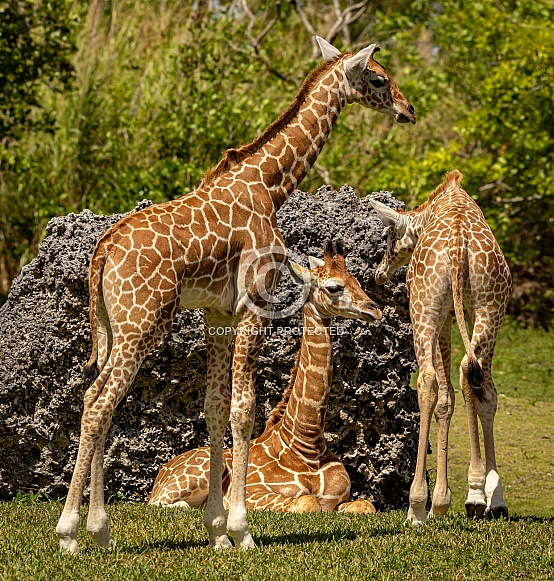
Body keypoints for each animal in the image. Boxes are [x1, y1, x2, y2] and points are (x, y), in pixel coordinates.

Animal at [147, 240, 380, 512]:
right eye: (334, 287)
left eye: (357, 281)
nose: (375, 310)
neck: (307, 444)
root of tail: (159, 477)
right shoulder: (253, 493)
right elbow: (308, 501)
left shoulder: (340, 500)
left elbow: (366, 505)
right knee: (164, 504)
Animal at [368, 170, 512, 524]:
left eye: (388, 236)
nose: (378, 273)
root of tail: (460, 247)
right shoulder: (459, 311)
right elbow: (457, 394)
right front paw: (473, 496)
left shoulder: (442, 315)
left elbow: (442, 394)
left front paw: (437, 503)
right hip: (491, 305)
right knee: (478, 377)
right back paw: (487, 497)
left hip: (423, 306)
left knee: (429, 380)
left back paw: (416, 506)